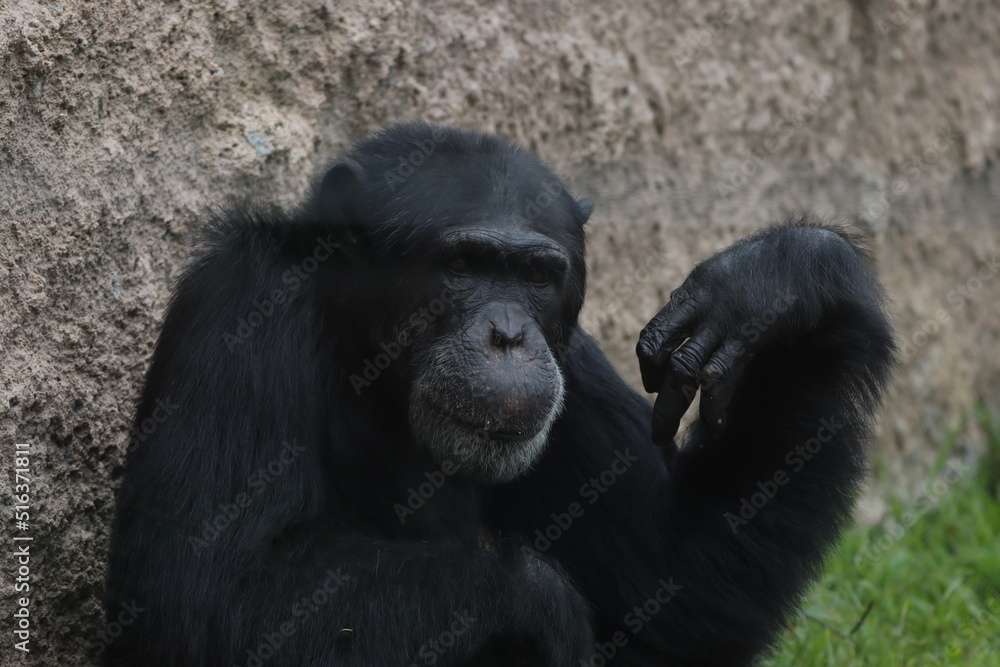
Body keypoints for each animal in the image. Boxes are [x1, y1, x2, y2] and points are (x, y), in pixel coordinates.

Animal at [105, 122, 896, 664]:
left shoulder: (576, 361)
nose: (511, 333)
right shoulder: (243, 306)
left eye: (536, 276)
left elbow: (674, 586)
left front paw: (782, 280)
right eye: (463, 263)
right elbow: (206, 595)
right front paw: (538, 600)